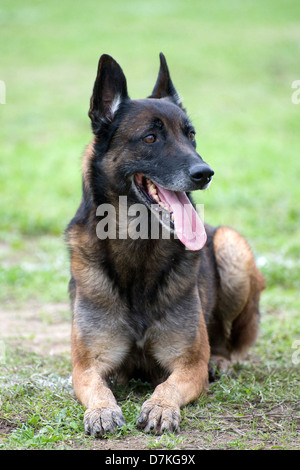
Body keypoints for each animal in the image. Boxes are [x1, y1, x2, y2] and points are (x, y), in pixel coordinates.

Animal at [66, 53, 264, 438]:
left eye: (191, 135)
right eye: (150, 137)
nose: (205, 173)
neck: (138, 249)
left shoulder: (189, 363)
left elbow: (167, 385)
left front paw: (160, 407)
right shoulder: (87, 364)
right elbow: (97, 386)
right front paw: (102, 411)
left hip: (231, 245)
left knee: (231, 343)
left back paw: (221, 360)